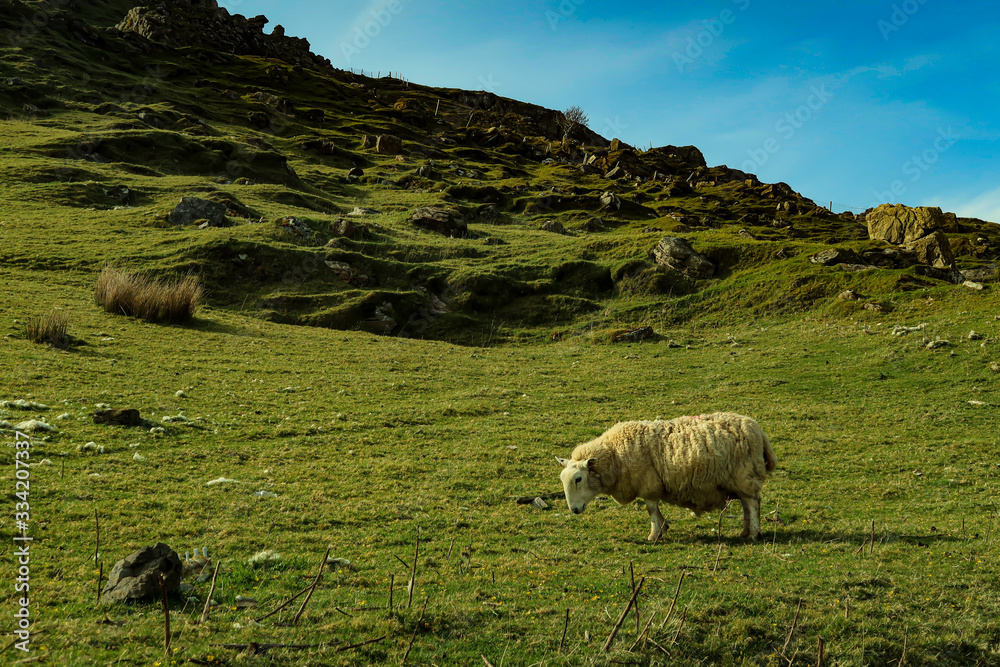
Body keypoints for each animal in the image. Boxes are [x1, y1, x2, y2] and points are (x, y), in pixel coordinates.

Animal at [556, 412, 776, 541]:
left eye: (578, 479)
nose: (574, 509)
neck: (615, 455)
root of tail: (756, 428)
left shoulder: (649, 484)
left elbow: (651, 509)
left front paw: (654, 534)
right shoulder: (651, 486)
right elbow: (654, 511)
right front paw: (663, 528)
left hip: (743, 474)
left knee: (753, 502)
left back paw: (754, 533)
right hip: (739, 478)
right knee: (746, 503)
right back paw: (745, 531)